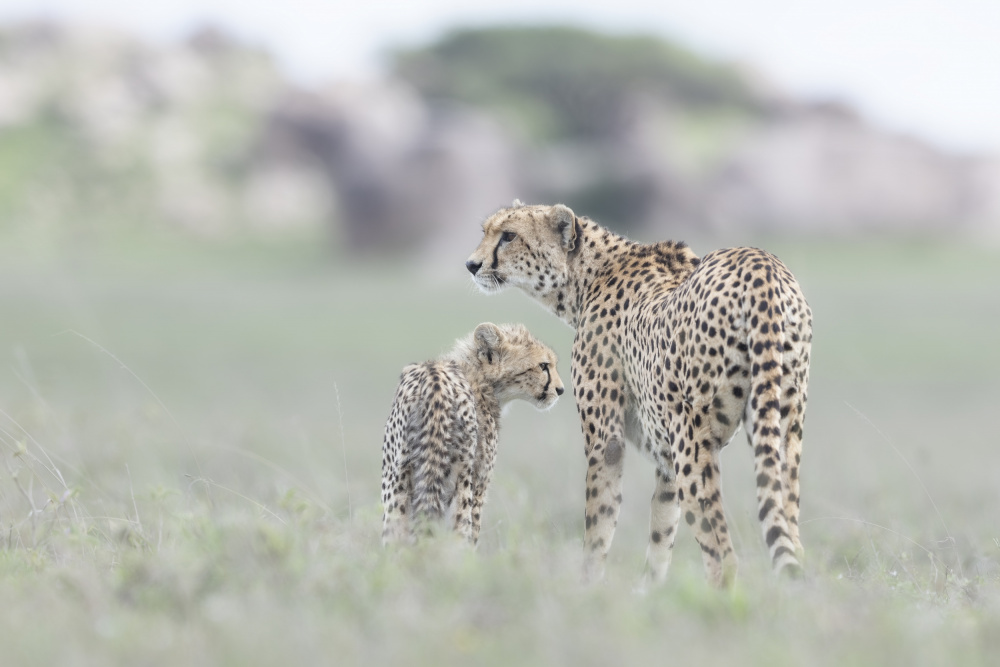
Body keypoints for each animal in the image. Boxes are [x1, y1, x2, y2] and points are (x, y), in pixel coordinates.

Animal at [380, 324, 564, 548]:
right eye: (543, 366)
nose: (561, 389)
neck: (481, 377)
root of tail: (434, 378)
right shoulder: (478, 488)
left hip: (396, 482)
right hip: (461, 481)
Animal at [468, 201, 812, 588]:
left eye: (509, 236)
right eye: (487, 231)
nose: (471, 264)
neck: (587, 274)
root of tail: (759, 263)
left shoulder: (608, 442)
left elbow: (599, 522)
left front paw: (587, 587)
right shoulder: (666, 460)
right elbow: (662, 532)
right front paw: (650, 591)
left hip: (694, 441)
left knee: (723, 554)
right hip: (785, 429)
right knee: (790, 537)